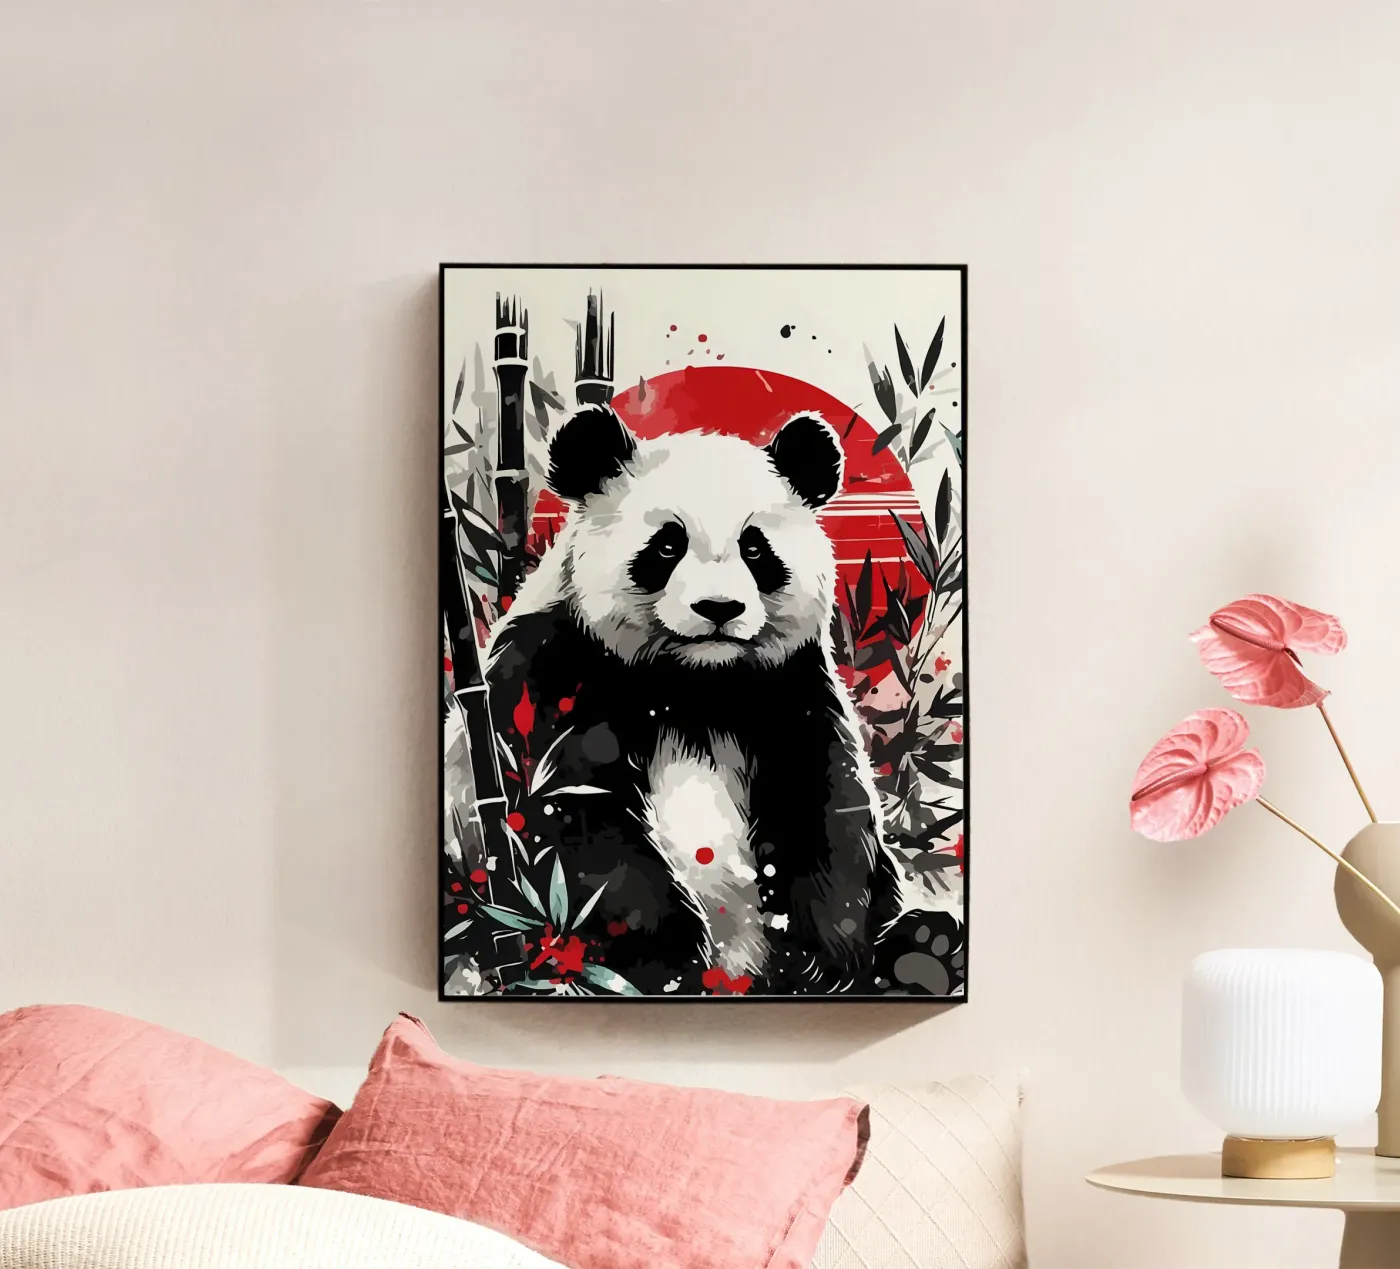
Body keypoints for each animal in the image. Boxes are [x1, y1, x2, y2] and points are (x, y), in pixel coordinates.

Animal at [485, 403, 957, 995]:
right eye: (667, 545)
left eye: (755, 548)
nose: (719, 608)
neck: (695, 682)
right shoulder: (556, 669)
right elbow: (568, 811)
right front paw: (668, 956)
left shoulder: (789, 685)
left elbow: (826, 804)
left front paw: (822, 958)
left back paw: (925, 951)